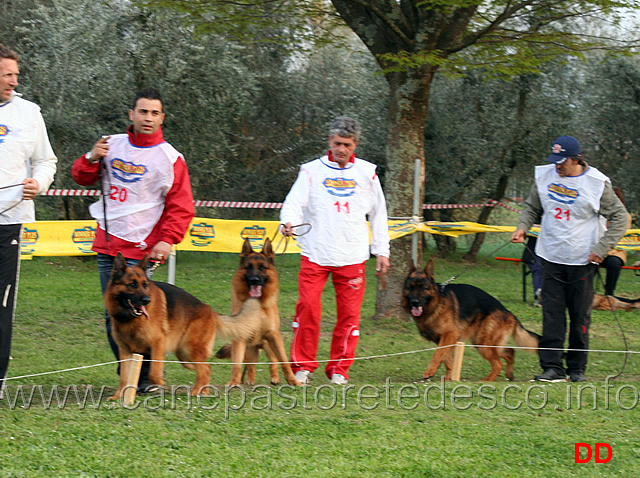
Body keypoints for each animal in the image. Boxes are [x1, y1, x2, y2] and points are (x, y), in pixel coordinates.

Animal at [107, 252, 270, 398]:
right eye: (132, 284)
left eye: (145, 285)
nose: (147, 300)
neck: (129, 319)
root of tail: (210, 311)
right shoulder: (125, 352)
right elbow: (124, 377)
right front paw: (118, 396)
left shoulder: (157, 344)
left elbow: (154, 371)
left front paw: (159, 381)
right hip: (184, 354)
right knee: (205, 368)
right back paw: (204, 392)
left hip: (190, 348)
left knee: (205, 369)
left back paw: (196, 392)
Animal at [212, 237, 298, 386]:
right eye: (248, 267)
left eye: (262, 267)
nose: (254, 280)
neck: (256, 304)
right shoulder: (240, 338)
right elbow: (237, 363)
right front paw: (234, 382)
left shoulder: (274, 336)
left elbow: (284, 361)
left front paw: (293, 381)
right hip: (249, 348)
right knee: (250, 365)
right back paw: (249, 381)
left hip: (268, 345)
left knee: (273, 361)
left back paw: (275, 378)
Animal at [402, 260, 536, 382]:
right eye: (410, 288)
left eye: (424, 288)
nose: (414, 302)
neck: (436, 303)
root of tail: (509, 312)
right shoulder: (444, 339)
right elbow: (447, 359)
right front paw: (449, 378)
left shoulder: (450, 335)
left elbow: (438, 354)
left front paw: (430, 372)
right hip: (483, 342)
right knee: (510, 352)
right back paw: (509, 374)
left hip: (483, 343)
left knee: (498, 363)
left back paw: (487, 380)